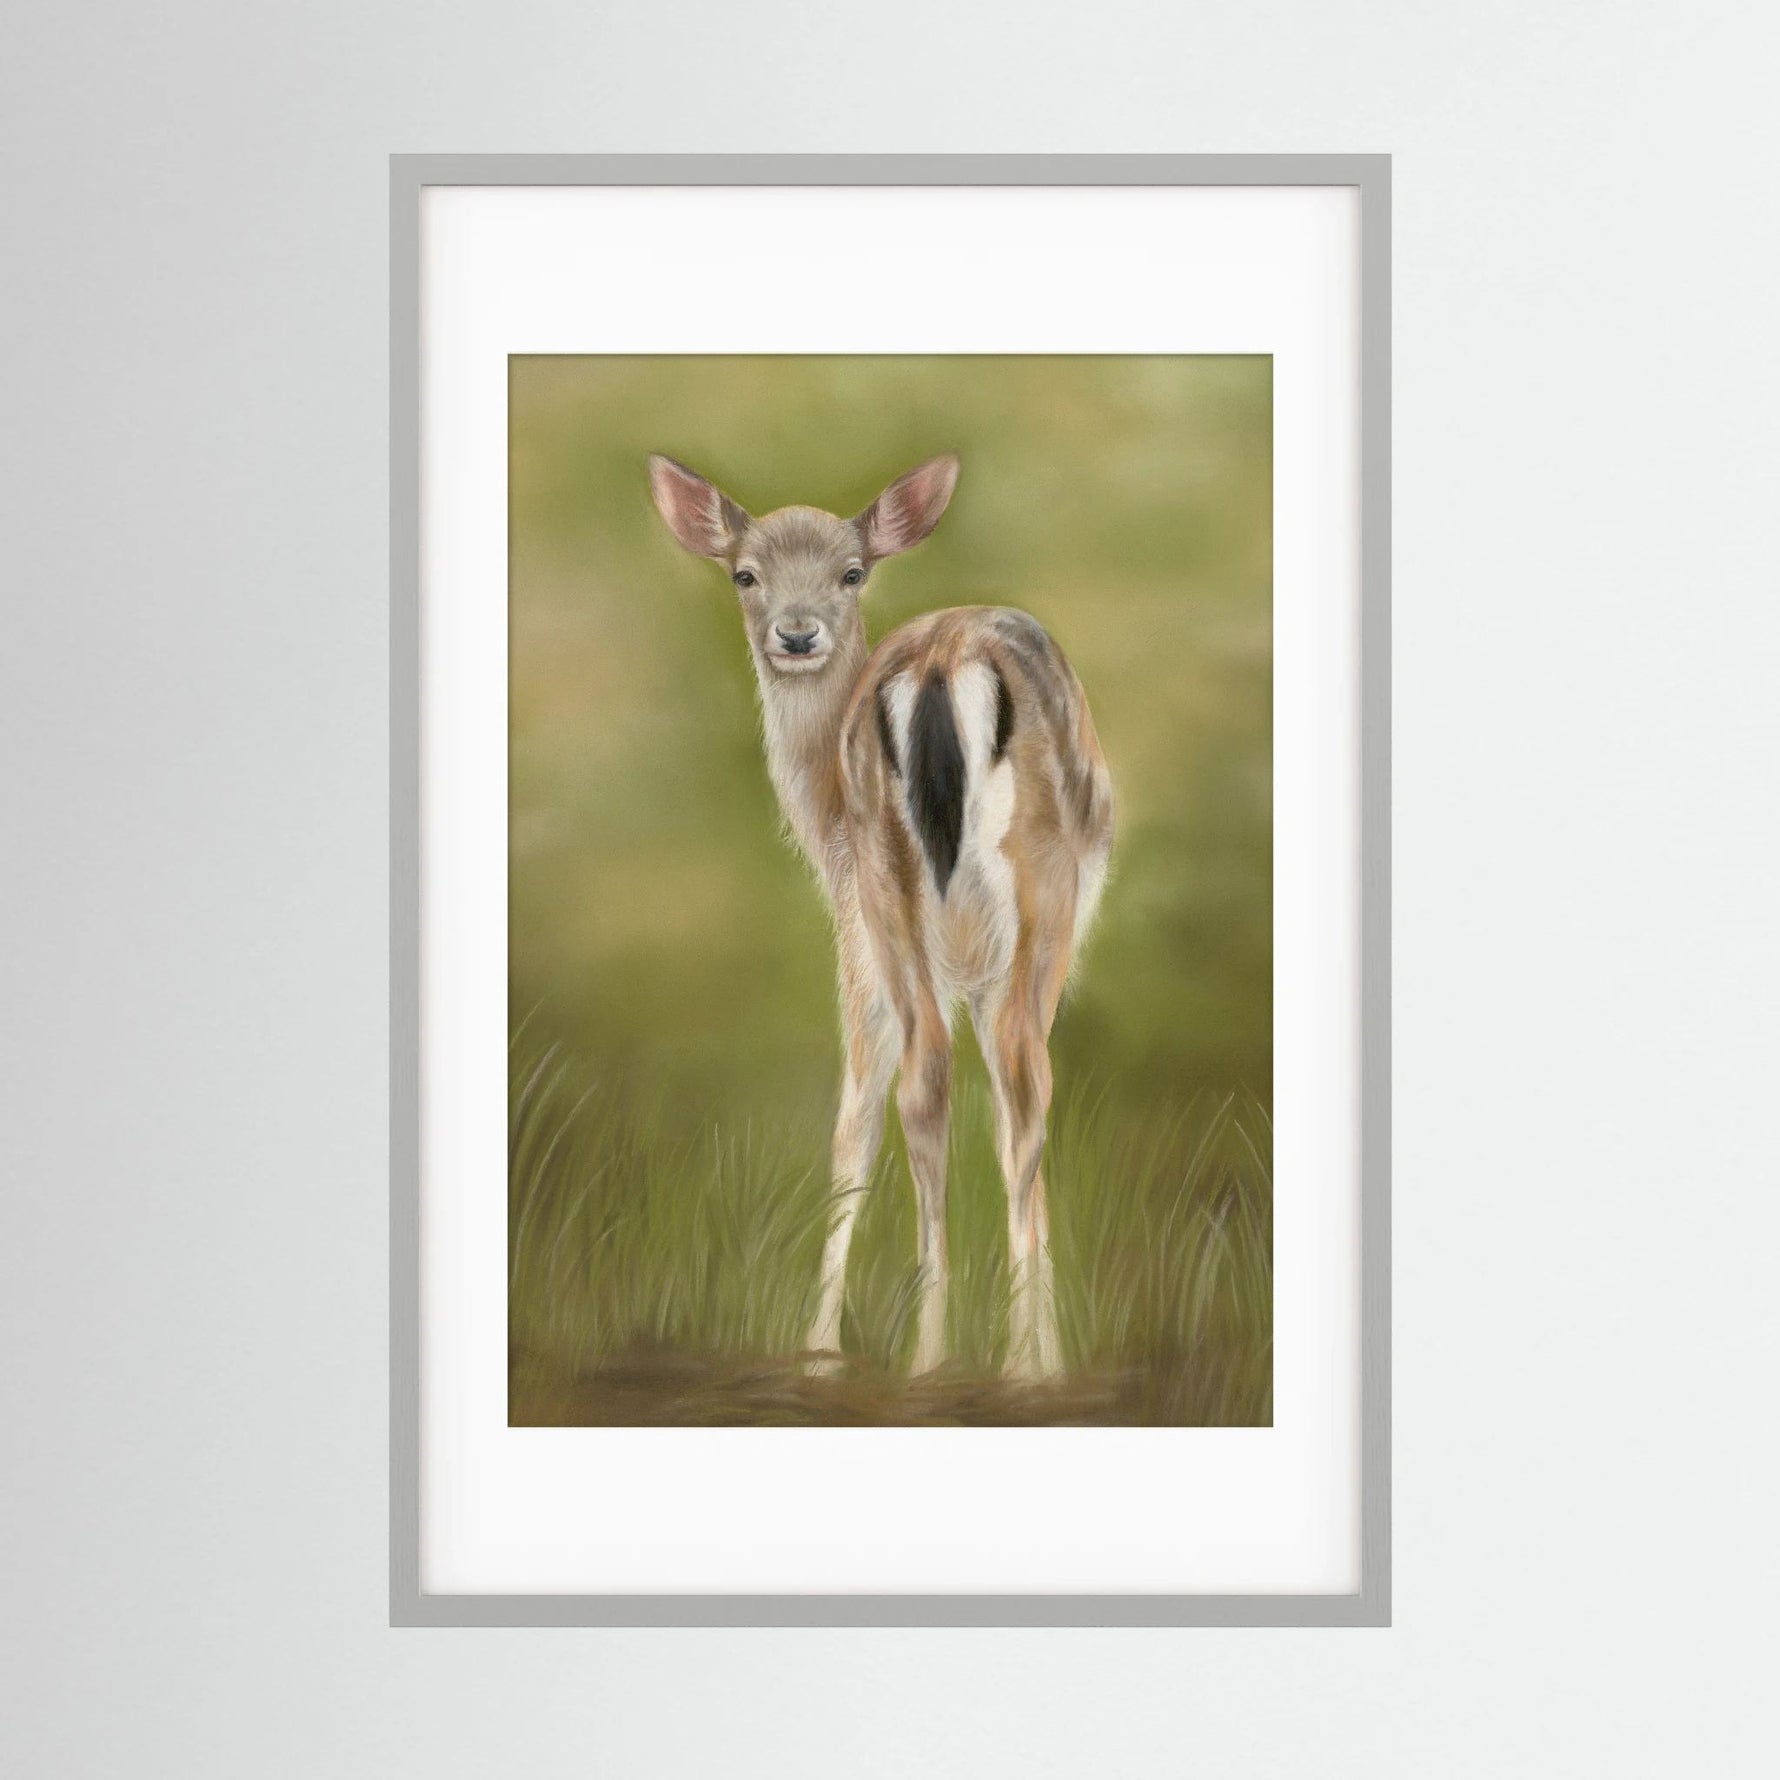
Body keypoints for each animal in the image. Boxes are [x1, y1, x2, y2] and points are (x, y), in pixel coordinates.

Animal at [647, 452, 1114, 1380]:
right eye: (744, 573)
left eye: (851, 572)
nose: (796, 635)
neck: (819, 817)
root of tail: (939, 665)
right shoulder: (879, 941)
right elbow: (872, 1118)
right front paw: (824, 1346)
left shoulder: (877, 934)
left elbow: (868, 1115)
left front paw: (821, 1347)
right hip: (1013, 894)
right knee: (1005, 1080)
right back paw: (994, 1363)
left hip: (904, 888)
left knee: (948, 1080)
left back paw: (946, 1356)